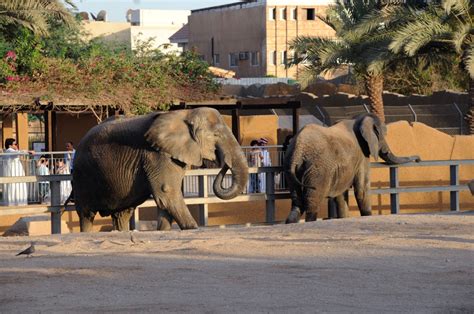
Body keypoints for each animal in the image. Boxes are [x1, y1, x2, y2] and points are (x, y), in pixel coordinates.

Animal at [73, 106, 248, 232]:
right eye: (216, 135)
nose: (224, 163)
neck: (184, 113)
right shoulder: (155, 154)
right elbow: (167, 191)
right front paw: (192, 228)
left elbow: (165, 198)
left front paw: (164, 230)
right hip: (82, 175)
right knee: (87, 214)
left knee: (122, 214)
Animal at [284, 113, 420, 223]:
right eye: (382, 135)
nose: (418, 159)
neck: (358, 119)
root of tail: (298, 151)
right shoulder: (362, 154)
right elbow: (362, 189)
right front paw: (367, 215)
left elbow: (341, 195)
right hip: (317, 170)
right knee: (312, 203)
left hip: (290, 168)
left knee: (296, 203)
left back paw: (290, 221)